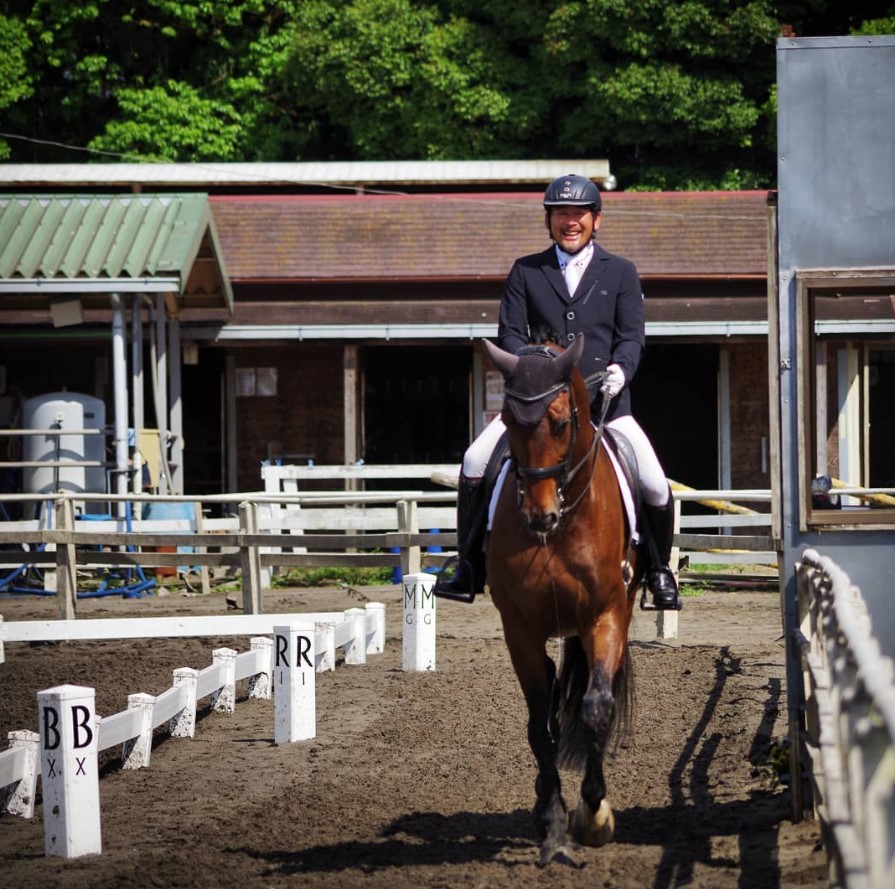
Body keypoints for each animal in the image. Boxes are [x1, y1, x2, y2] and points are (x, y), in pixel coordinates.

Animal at [486, 334, 640, 868]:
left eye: (560, 422)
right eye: (507, 421)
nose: (540, 517)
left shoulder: (605, 614)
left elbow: (596, 707)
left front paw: (593, 816)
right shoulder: (520, 628)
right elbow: (539, 727)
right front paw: (553, 827)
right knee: (550, 704)